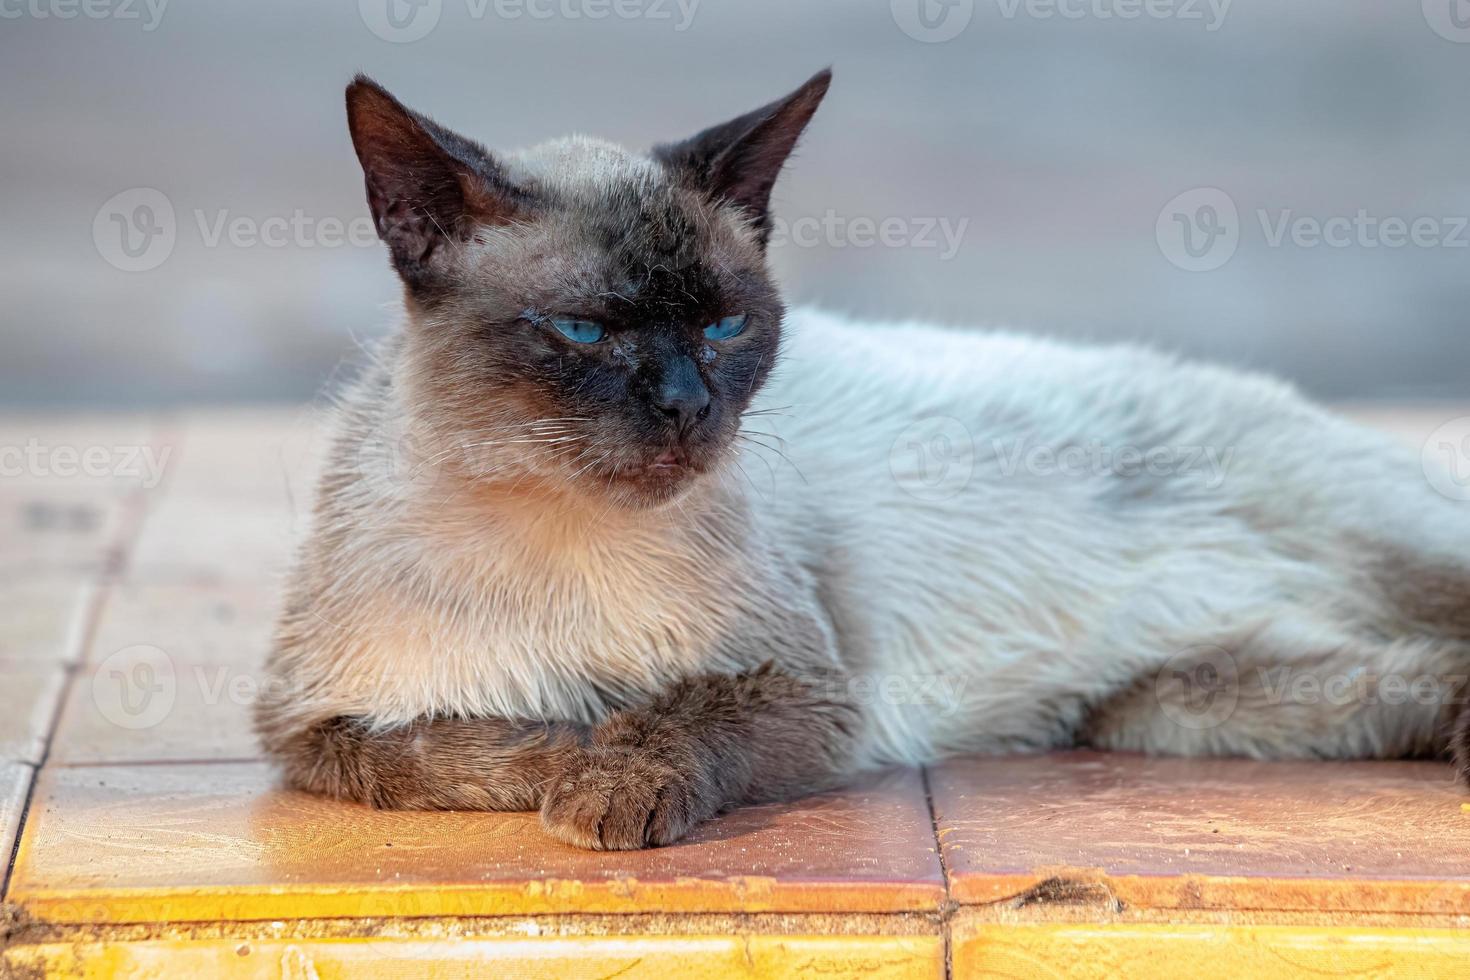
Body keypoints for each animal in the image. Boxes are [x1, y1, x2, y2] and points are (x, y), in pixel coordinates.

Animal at [252, 69, 1470, 852]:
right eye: (587, 331)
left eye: (726, 327)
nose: (689, 407)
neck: (554, 525)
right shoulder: (319, 730)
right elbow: (461, 752)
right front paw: (576, 757)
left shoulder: (805, 688)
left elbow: (669, 716)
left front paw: (612, 775)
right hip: (1188, 708)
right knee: (1420, 677)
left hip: (1369, 578)